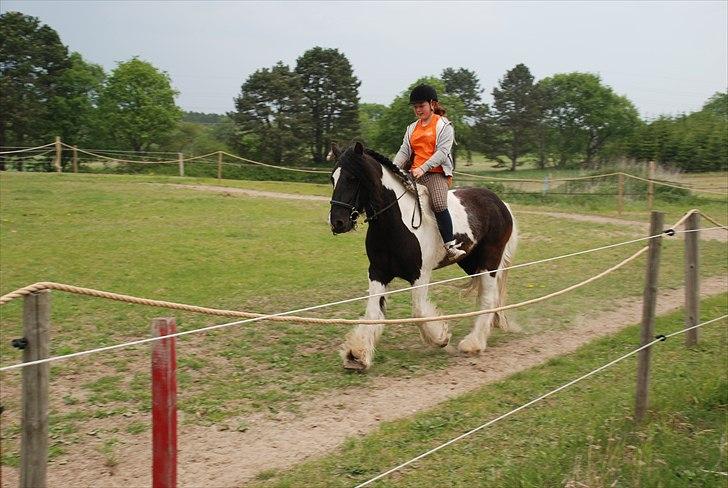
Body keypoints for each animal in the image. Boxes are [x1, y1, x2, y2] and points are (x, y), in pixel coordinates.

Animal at [328, 141, 516, 370]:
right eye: (333, 178)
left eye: (353, 178)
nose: (337, 222)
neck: (395, 223)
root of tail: (501, 203)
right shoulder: (378, 273)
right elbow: (372, 313)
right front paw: (356, 355)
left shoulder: (420, 275)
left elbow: (418, 311)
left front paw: (441, 338)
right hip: (472, 263)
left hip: (490, 261)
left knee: (488, 298)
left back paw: (473, 343)